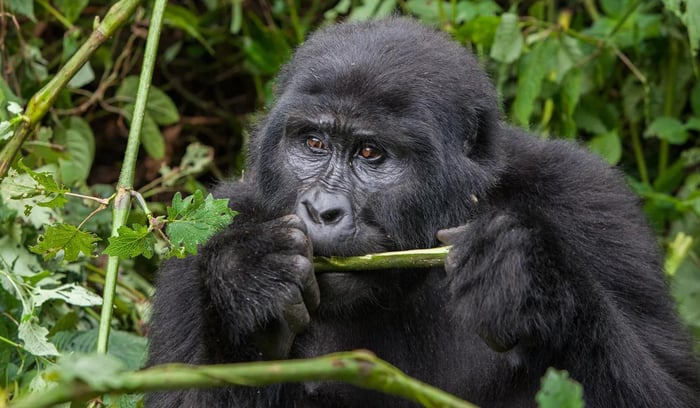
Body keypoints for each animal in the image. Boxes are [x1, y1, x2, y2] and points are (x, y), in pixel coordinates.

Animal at [145, 17, 696, 406]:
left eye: (371, 154)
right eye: (314, 143)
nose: (321, 210)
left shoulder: (590, 199)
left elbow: (671, 388)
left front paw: (529, 280)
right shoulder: (203, 239)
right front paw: (249, 277)